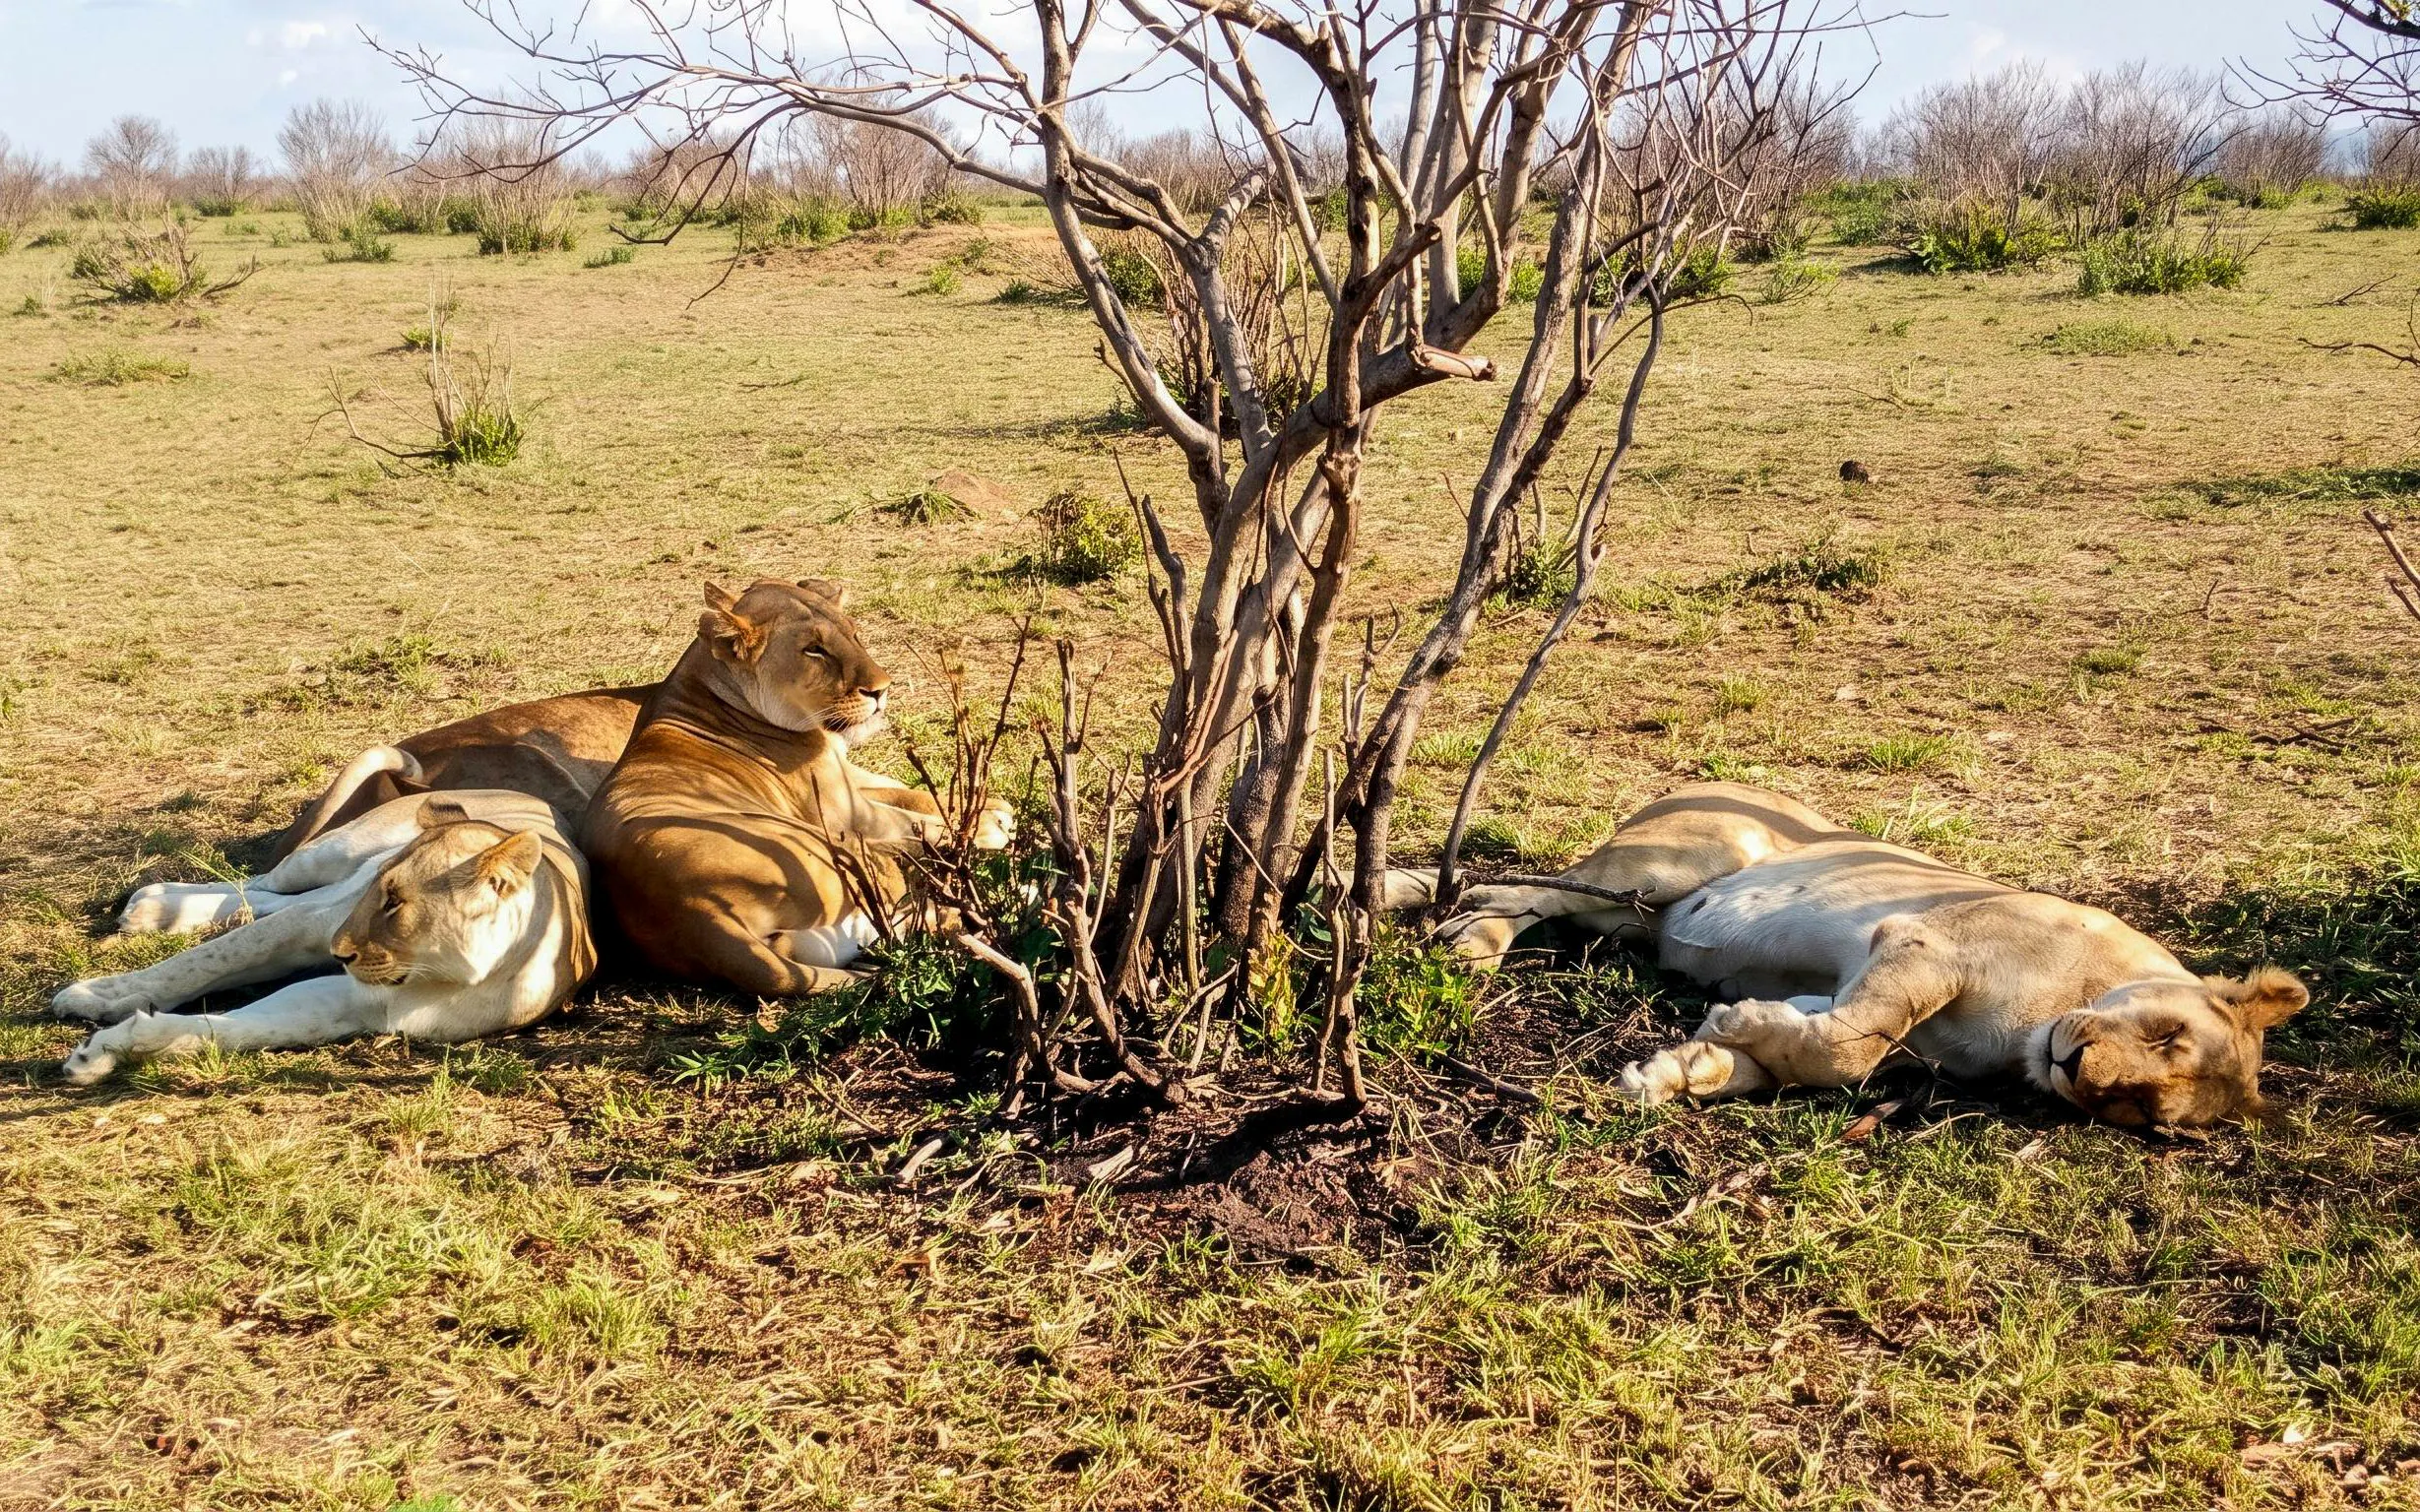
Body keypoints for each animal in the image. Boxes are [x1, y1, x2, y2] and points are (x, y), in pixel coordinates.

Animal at [54, 789, 594, 1083]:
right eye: (380, 892)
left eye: (394, 901)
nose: (339, 951)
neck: (455, 972)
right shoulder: (314, 924)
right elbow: (204, 962)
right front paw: (102, 995)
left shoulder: (359, 1004)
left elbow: (239, 1029)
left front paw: (111, 1049)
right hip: (330, 855)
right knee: (262, 884)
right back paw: (150, 904)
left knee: (263, 899)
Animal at [582, 577, 1011, 996]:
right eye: (814, 650)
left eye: (855, 634)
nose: (882, 690)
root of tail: (694, 913)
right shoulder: (847, 811)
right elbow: (914, 818)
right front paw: (990, 825)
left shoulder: (845, 774)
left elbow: (903, 789)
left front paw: (995, 806)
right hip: (827, 847)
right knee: (898, 893)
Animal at [1387, 782, 2306, 1128]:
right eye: (2165, 1036)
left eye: (2142, 1111)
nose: (2077, 1070)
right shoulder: (1919, 946)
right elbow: (1851, 1047)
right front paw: (1726, 1030)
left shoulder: (1874, 1009)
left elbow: (1808, 1052)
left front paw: (1687, 1067)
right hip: (1673, 863)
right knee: (1517, 889)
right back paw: (1467, 944)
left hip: (1631, 918)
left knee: (1523, 893)